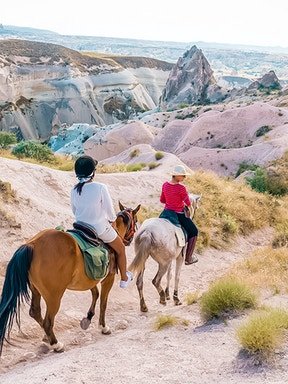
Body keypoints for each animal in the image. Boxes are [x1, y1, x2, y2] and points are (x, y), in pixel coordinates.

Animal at [0, 202, 141, 356]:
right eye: (136, 221)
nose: (129, 240)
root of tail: (32, 244)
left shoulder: (89, 279)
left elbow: (95, 294)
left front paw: (88, 317)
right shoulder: (108, 279)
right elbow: (103, 302)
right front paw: (103, 327)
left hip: (35, 289)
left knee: (35, 312)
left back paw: (46, 337)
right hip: (54, 296)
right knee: (48, 321)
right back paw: (56, 344)